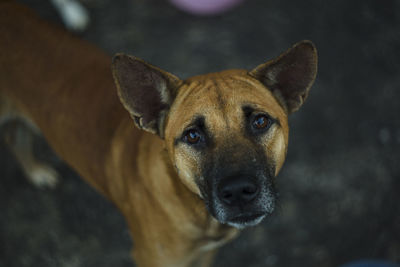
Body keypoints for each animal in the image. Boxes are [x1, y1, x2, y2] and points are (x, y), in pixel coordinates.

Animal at [0, 2, 318, 267]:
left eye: (260, 122)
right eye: (192, 136)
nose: (239, 191)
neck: (194, 207)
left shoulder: (205, 255)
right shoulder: (153, 260)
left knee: (16, 138)